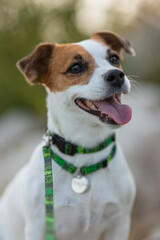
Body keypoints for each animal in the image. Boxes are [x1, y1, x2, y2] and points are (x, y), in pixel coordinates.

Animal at [0, 30, 136, 240]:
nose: (116, 75)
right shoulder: (38, 227)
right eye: (76, 67)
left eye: (114, 58)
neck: (85, 154)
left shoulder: (119, 222)